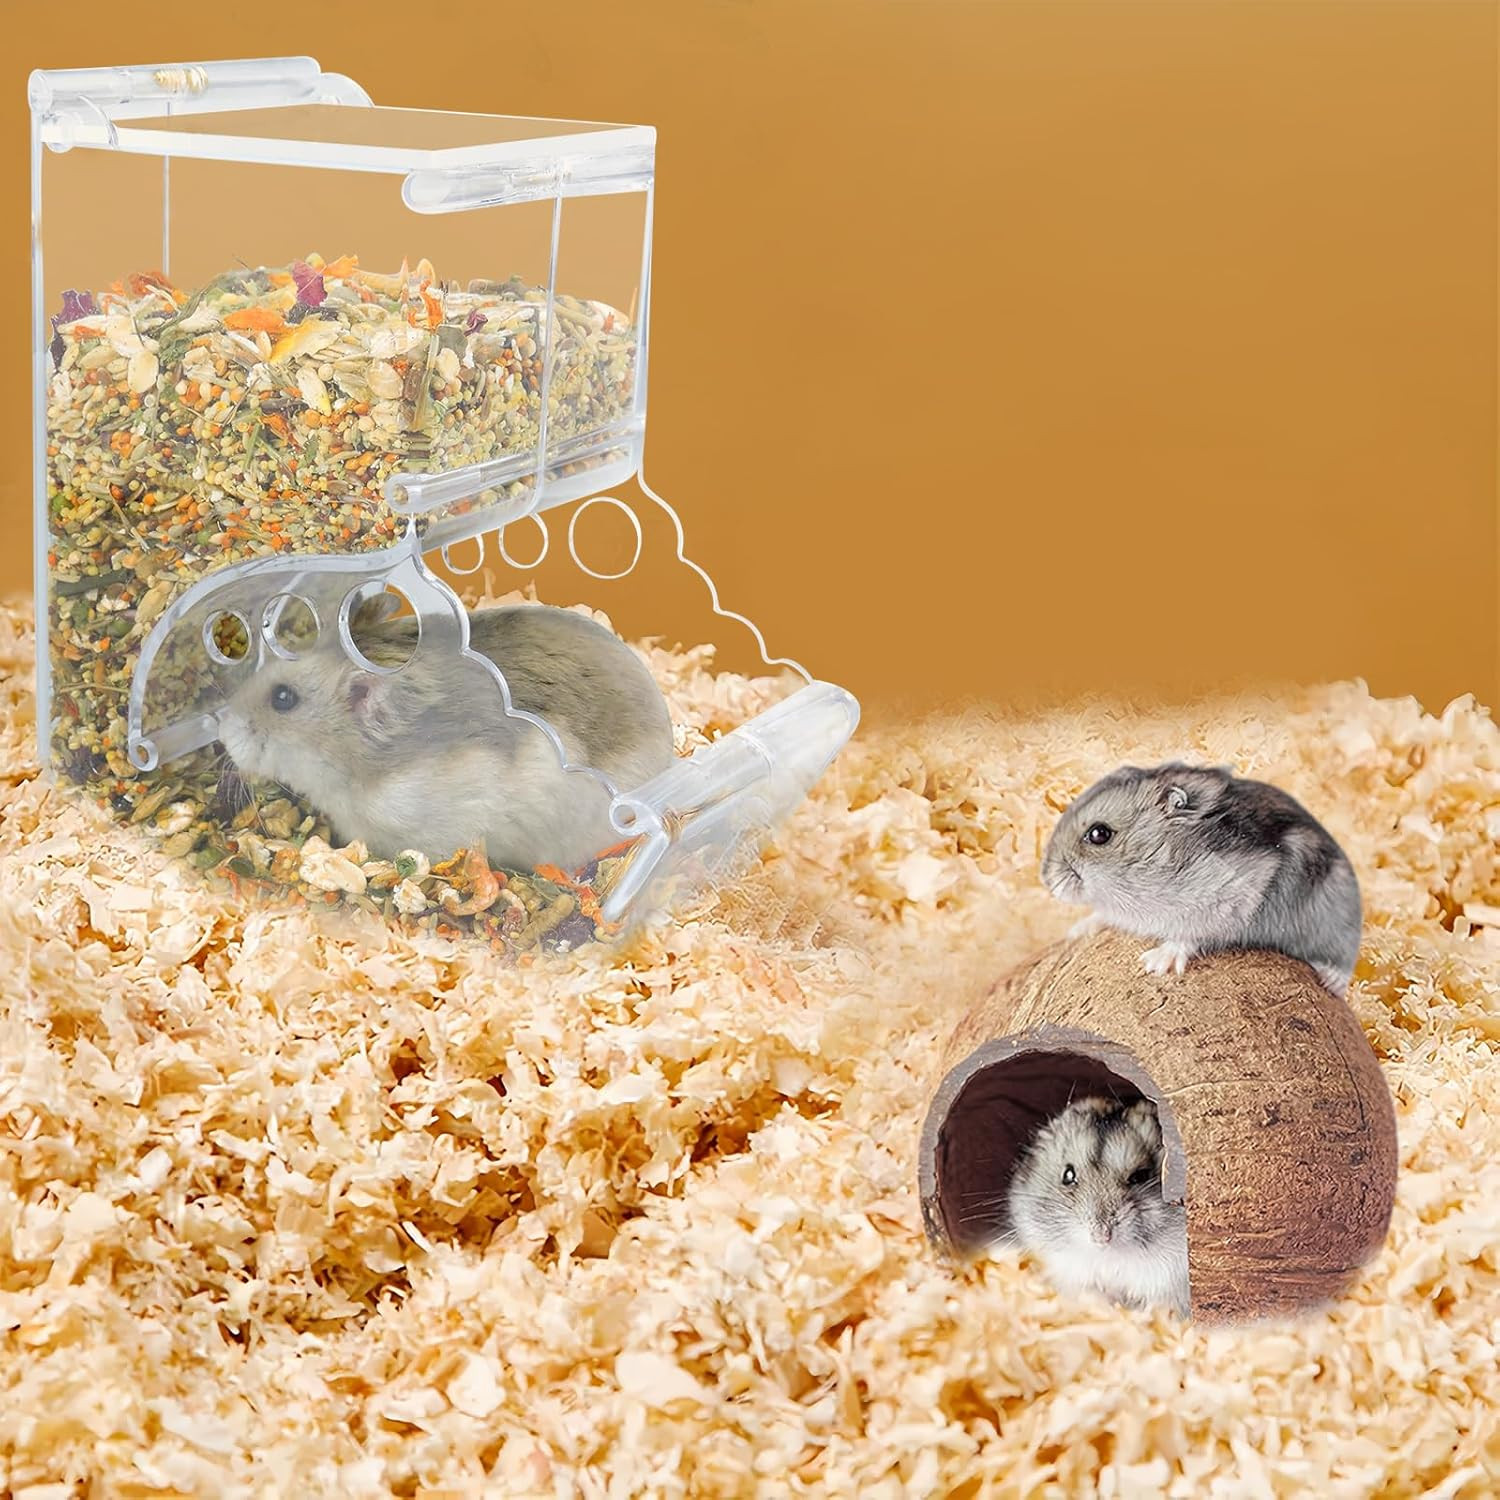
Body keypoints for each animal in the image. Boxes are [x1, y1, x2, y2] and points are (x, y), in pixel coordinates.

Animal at [1041, 761, 1362, 995]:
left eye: (1099, 834)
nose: (1048, 882)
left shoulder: (1236, 893)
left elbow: (1191, 933)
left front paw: (1155, 963)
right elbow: (1103, 914)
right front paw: (1078, 930)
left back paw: (1330, 980)